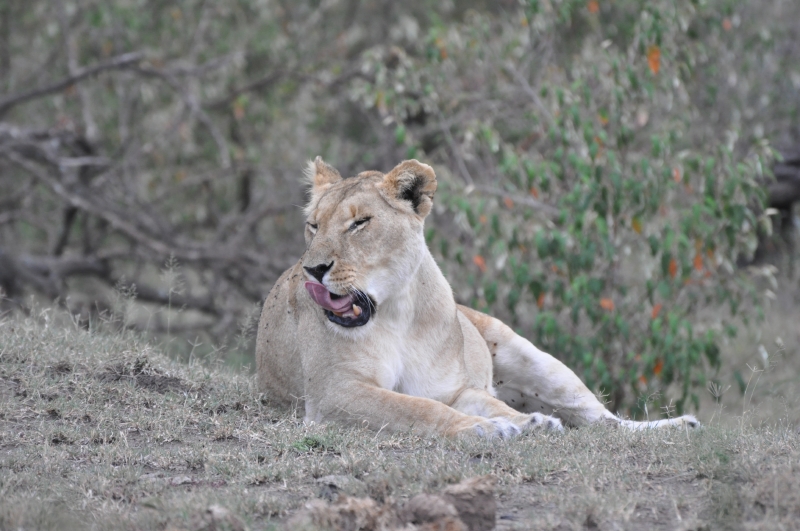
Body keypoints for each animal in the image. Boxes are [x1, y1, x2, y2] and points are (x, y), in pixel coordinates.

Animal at [255, 158, 698, 438]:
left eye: (360, 223)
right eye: (313, 226)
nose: (313, 269)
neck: (395, 312)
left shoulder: (452, 389)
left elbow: (462, 404)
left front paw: (526, 424)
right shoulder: (335, 391)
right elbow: (417, 408)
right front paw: (487, 428)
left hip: (538, 360)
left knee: (605, 422)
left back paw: (678, 426)